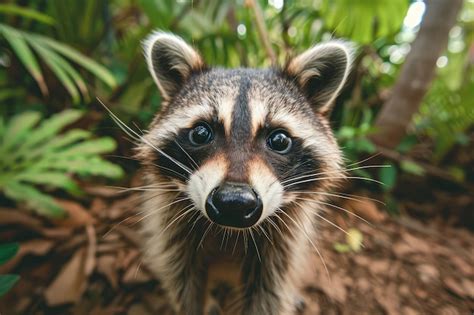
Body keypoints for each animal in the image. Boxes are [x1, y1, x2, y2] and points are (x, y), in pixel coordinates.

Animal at [137, 30, 352, 315]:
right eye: (201, 133)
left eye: (279, 140)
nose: (233, 203)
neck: (230, 232)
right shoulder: (172, 231)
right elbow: (184, 282)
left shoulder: (284, 245)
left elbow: (268, 293)